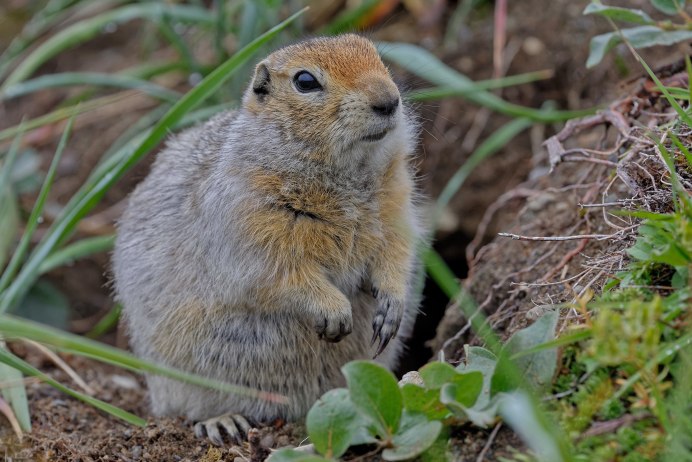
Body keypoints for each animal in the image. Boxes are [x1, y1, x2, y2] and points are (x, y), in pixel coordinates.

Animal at [113, 34, 424, 446]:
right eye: (305, 81)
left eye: (376, 56)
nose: (389, 100)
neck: (346, 176)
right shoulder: (249, 223)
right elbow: (280, 275)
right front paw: (334, 311)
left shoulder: (396, 210)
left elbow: (396, 254)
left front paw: (391, 305)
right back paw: (222, 422)